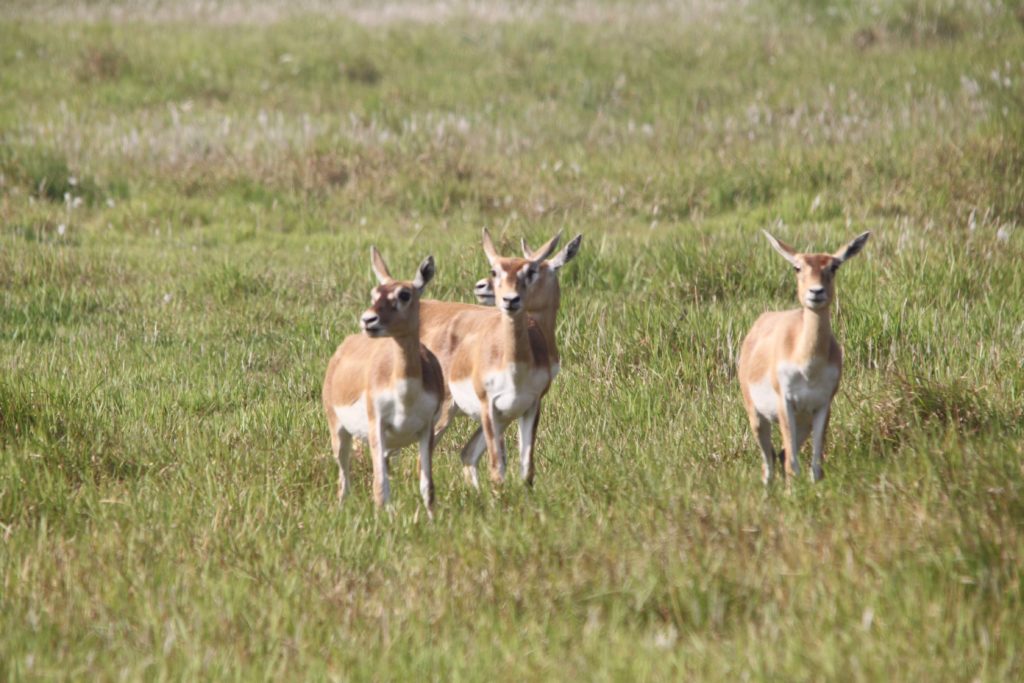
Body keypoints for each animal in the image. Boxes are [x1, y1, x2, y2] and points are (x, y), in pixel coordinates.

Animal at [323, 248, 444, 516]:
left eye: (404, 294)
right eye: (374, 293)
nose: (369, 320)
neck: (405, 394)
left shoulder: (426, 428)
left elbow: (428, 486)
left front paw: (432, 519)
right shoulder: (376, 424)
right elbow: (380, 487)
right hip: (340, 431)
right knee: (343, 480)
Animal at [737, 232, 872, 483]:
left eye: (834, 266)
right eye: (797, 267)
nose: (816, 292)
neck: (808, 366)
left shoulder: (822, 405)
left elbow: (816, 467)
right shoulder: (786, 403)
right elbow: (792, 465)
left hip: (803, 423)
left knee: (780, 455)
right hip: (758, 417)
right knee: (769, 464)